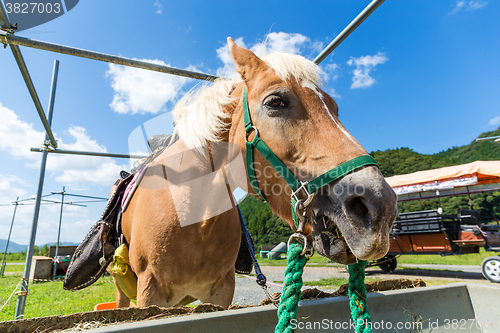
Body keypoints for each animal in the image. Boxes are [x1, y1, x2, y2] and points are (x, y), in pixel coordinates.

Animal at [110, 39, 398, 308]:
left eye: (335, 109)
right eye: (275, 102)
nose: (380, 207)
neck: (192, 217)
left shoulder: (221, 293)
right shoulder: (149, 292)